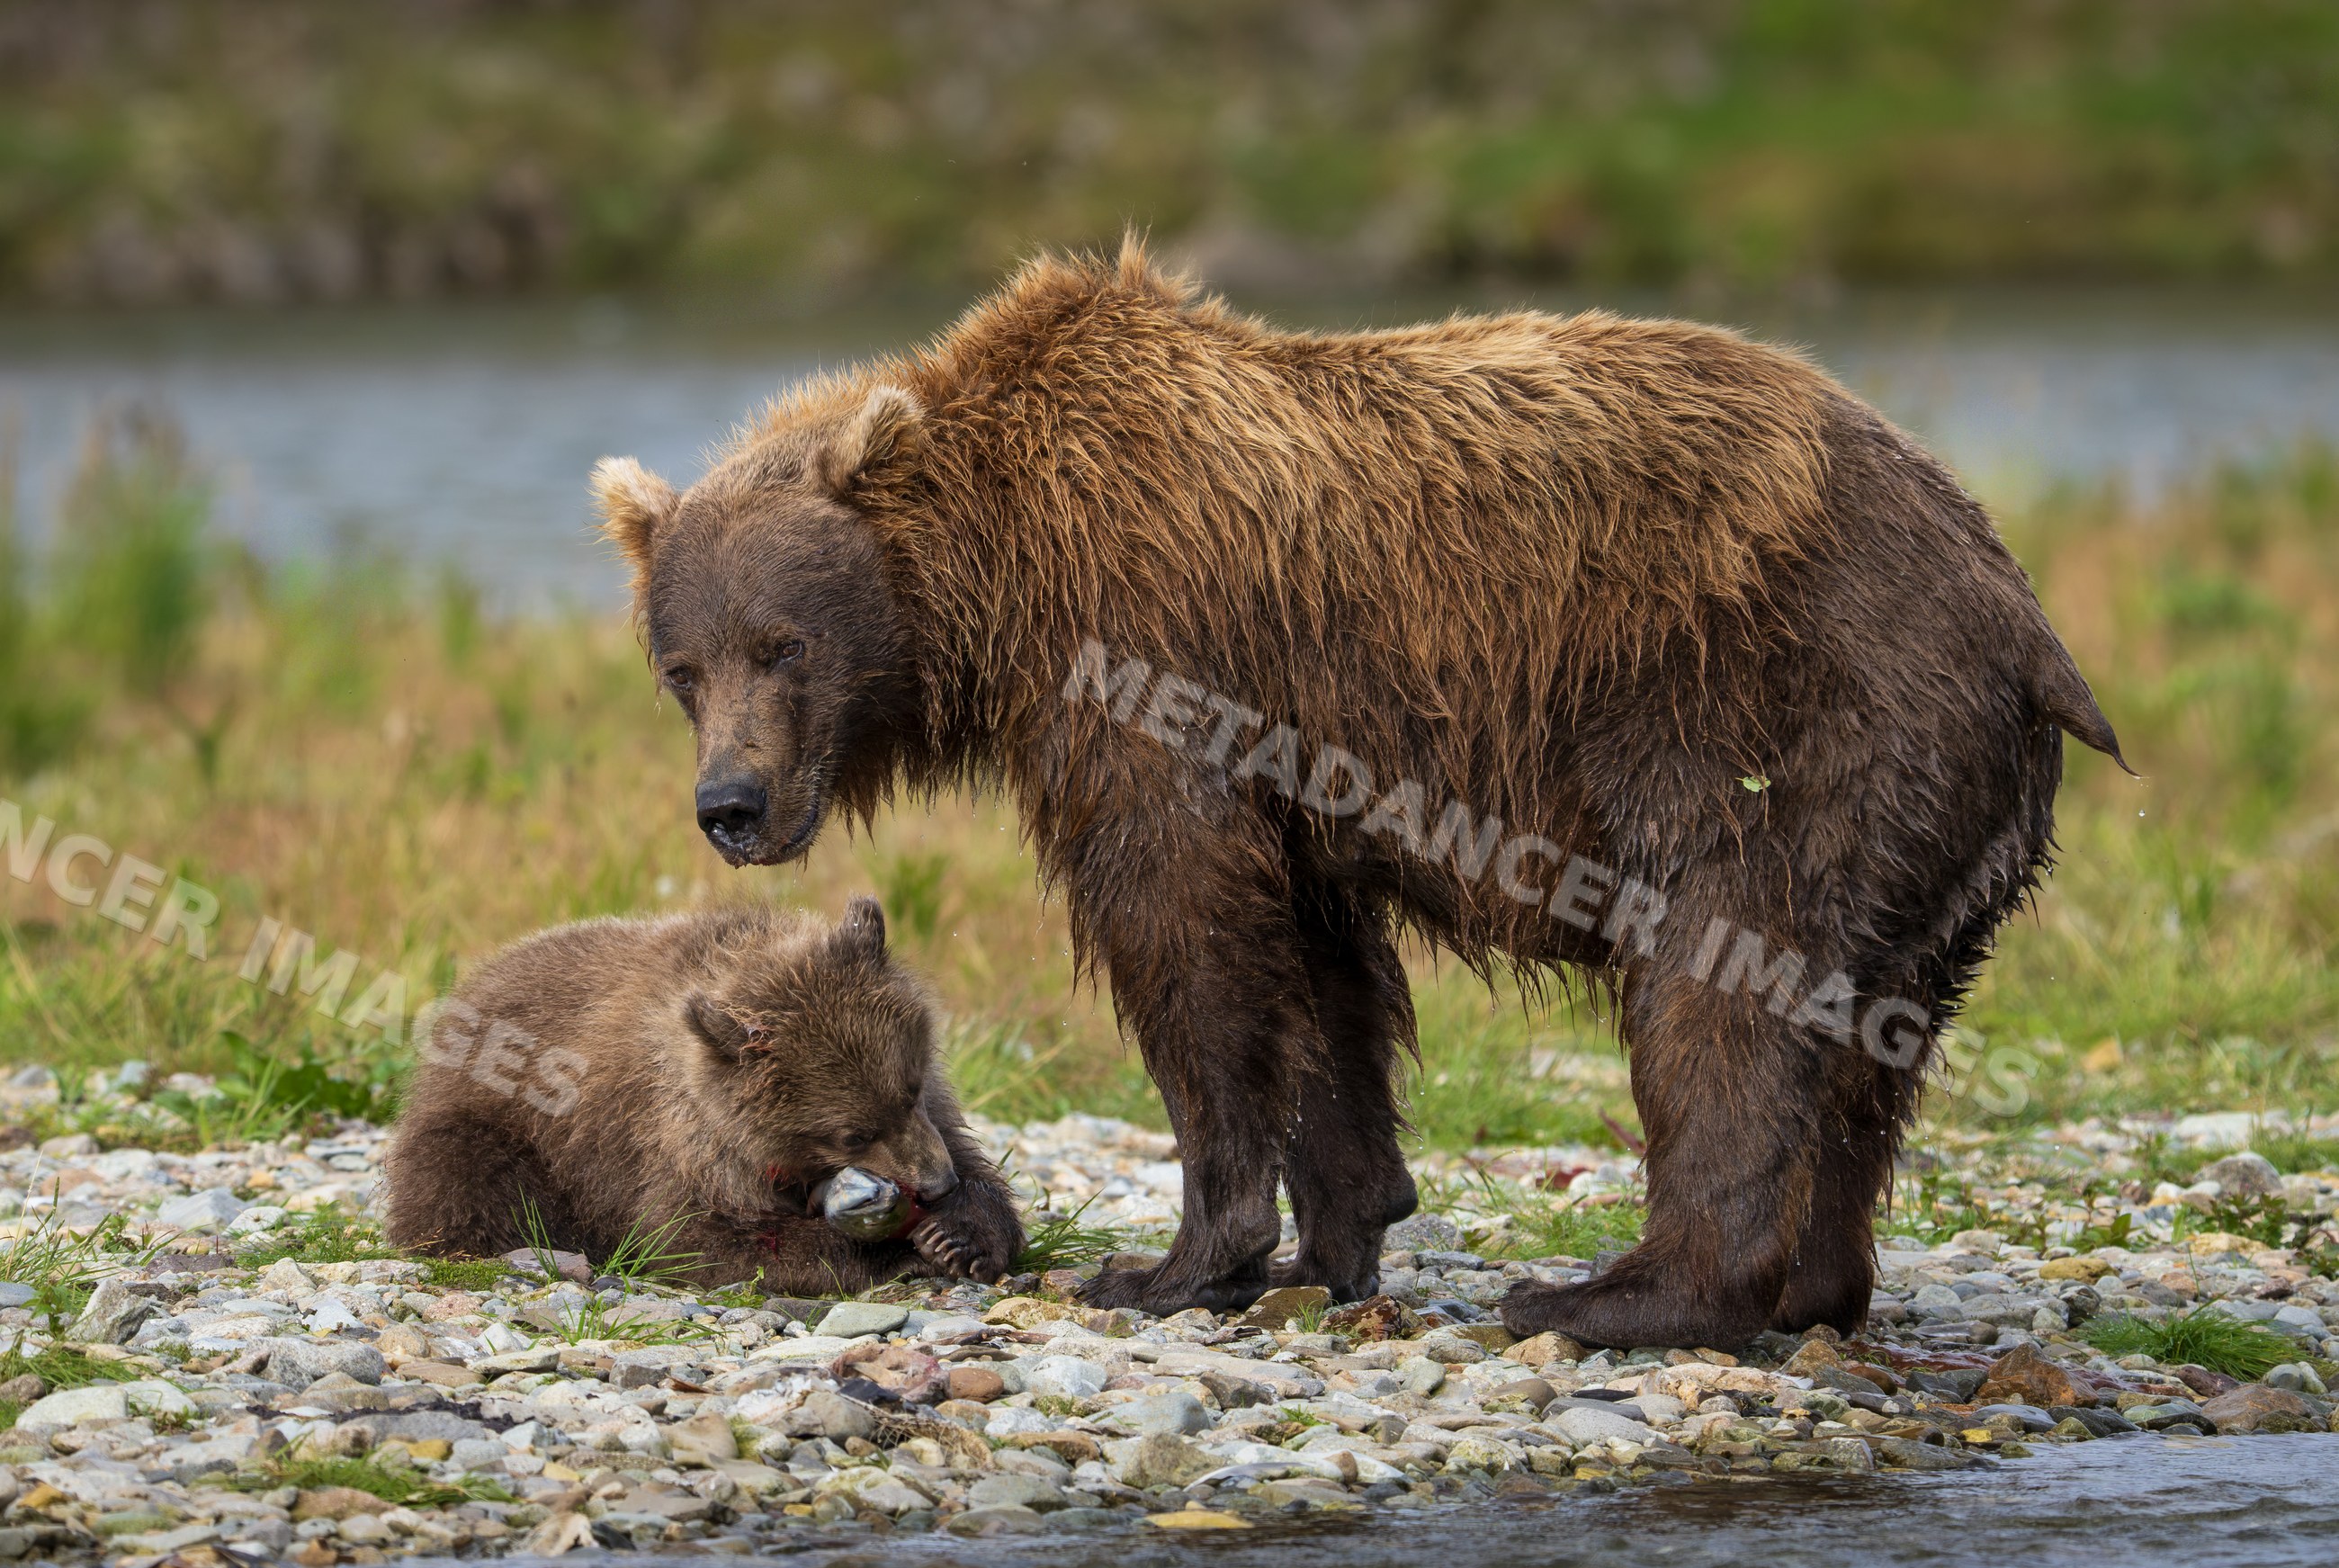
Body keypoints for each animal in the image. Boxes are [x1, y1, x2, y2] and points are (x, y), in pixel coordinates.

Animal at [383, 897, 1023, 1293]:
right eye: (852, 1134)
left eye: (909, 1088)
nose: (937, 1185)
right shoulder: (667, 1141)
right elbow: (701, 1236)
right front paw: (898, 1251)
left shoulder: (936, 1112)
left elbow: (976, 1163)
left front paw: (959, 1235)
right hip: (497, 1125)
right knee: (472, 1184)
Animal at [588, 240, 2121, 1348]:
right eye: (681, 664)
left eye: (784, 641)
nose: (731, 803)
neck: (1001, 577)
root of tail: (2021, 610)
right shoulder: (1298, 757)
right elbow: (1317, 968)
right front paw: (1337, 1229)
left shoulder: (1154, 662)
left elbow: (1184, 929)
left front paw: (1174, 1258)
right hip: (1933, 813)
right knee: (1871, 1044)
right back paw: (1814, 1284)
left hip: (1794, 716)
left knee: (1725, 985)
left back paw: (1617, 1292)